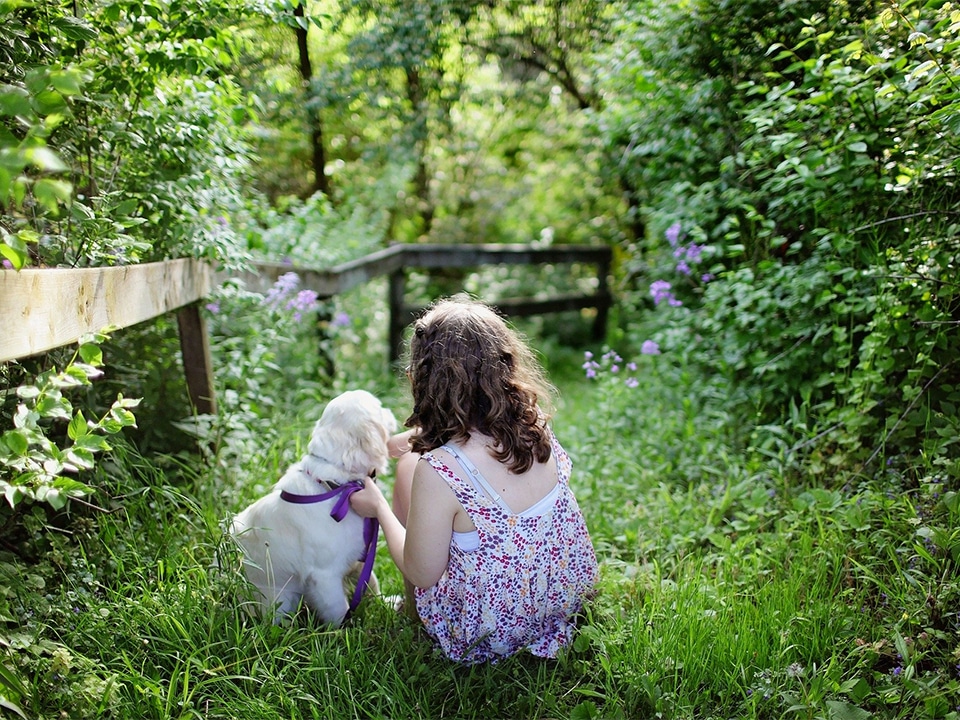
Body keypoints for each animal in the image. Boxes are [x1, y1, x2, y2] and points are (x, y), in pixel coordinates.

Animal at [231, 388, 396, 624]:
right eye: (379, 407)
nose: (391, 411)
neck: (335, 486)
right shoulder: (324, 576)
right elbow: (339, 610)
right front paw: (346, 631)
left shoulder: (359, 556)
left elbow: (371, 582)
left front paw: (387, 603)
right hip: (280, 600)